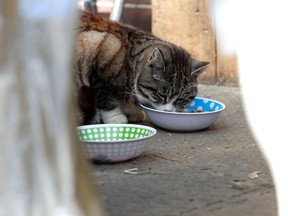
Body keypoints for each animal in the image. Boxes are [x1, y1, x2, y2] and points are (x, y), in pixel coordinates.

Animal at [74, 11, 209, 125]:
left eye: (181, 99)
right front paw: (115, 117)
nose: (168, 111)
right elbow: (105, 97)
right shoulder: (101, 55)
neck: (128, 65)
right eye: (162, 95)